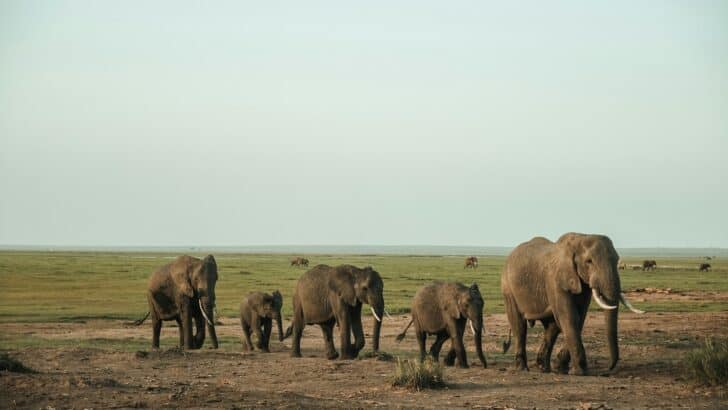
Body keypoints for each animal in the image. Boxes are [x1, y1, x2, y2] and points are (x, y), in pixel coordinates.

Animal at [501, 233, 644, 375]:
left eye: (616, 260)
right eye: (589, 261)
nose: (608, 369)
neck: (580, 239)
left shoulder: (582, 284)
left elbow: (579, 318)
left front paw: (562, 368)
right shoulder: (556, 281)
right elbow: (569, 317)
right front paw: (580, 372)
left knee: (551, 327)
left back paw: (544, 368)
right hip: (508, 286)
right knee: (519, 325)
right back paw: (522, 368)